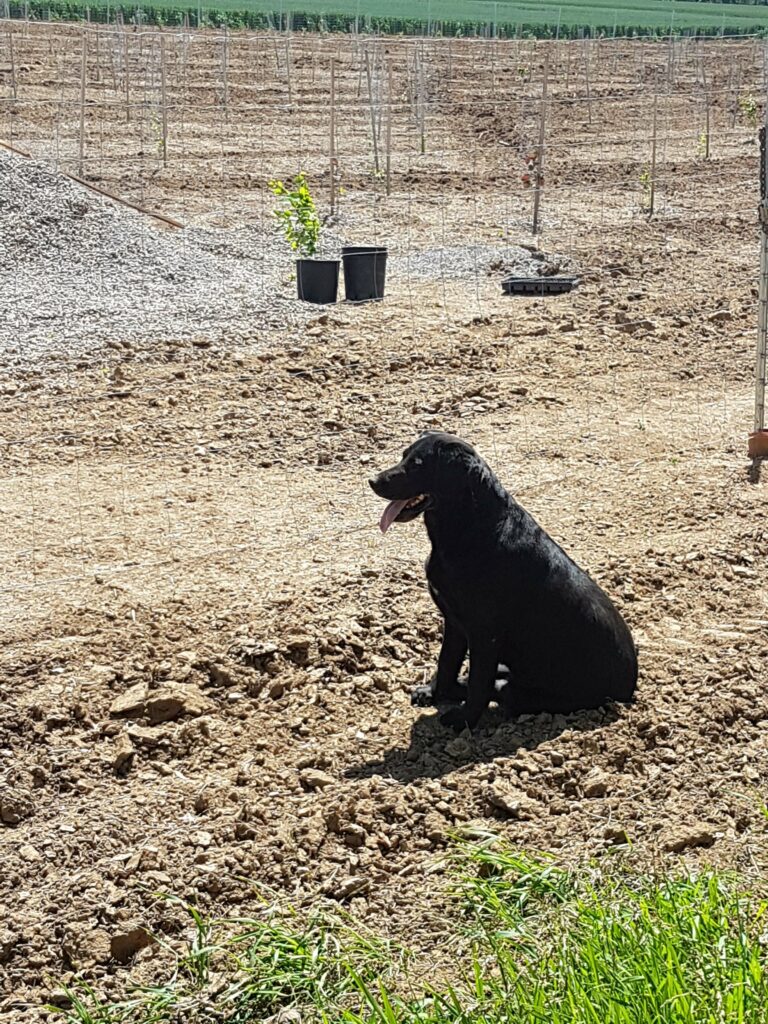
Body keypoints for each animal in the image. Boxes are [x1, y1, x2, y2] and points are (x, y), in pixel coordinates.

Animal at [370, 436, 638, 733]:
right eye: (403, 456)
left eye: (418, 464)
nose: (372, 481)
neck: (469, 527)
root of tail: (629, 691)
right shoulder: (454, 622)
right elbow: (447, 662)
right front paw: (435, 692)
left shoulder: (484, 633)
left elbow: (478, 684)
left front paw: (463, 720)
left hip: (531, 692)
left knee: (499, 688)